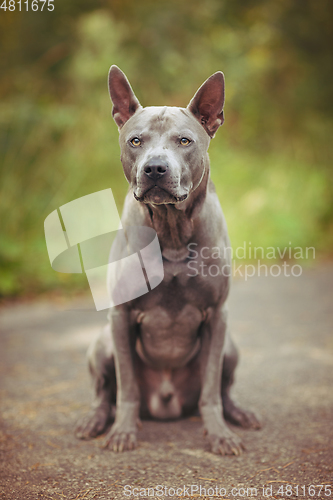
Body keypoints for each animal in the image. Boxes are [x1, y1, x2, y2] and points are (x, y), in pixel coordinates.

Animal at [75, 67, 260, 458]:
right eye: (135, 141)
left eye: (184, 141)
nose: (155, 168)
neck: (172, 232)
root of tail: (166, 404)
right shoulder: (121, 317)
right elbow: (127, 387)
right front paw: (123, 432)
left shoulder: (217, 316)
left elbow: (211, 389)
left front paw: (219, 434)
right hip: (102, 343)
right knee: (104, 392)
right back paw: (96, 420)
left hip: (231, 347)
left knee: (224, 388)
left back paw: (239, 414)